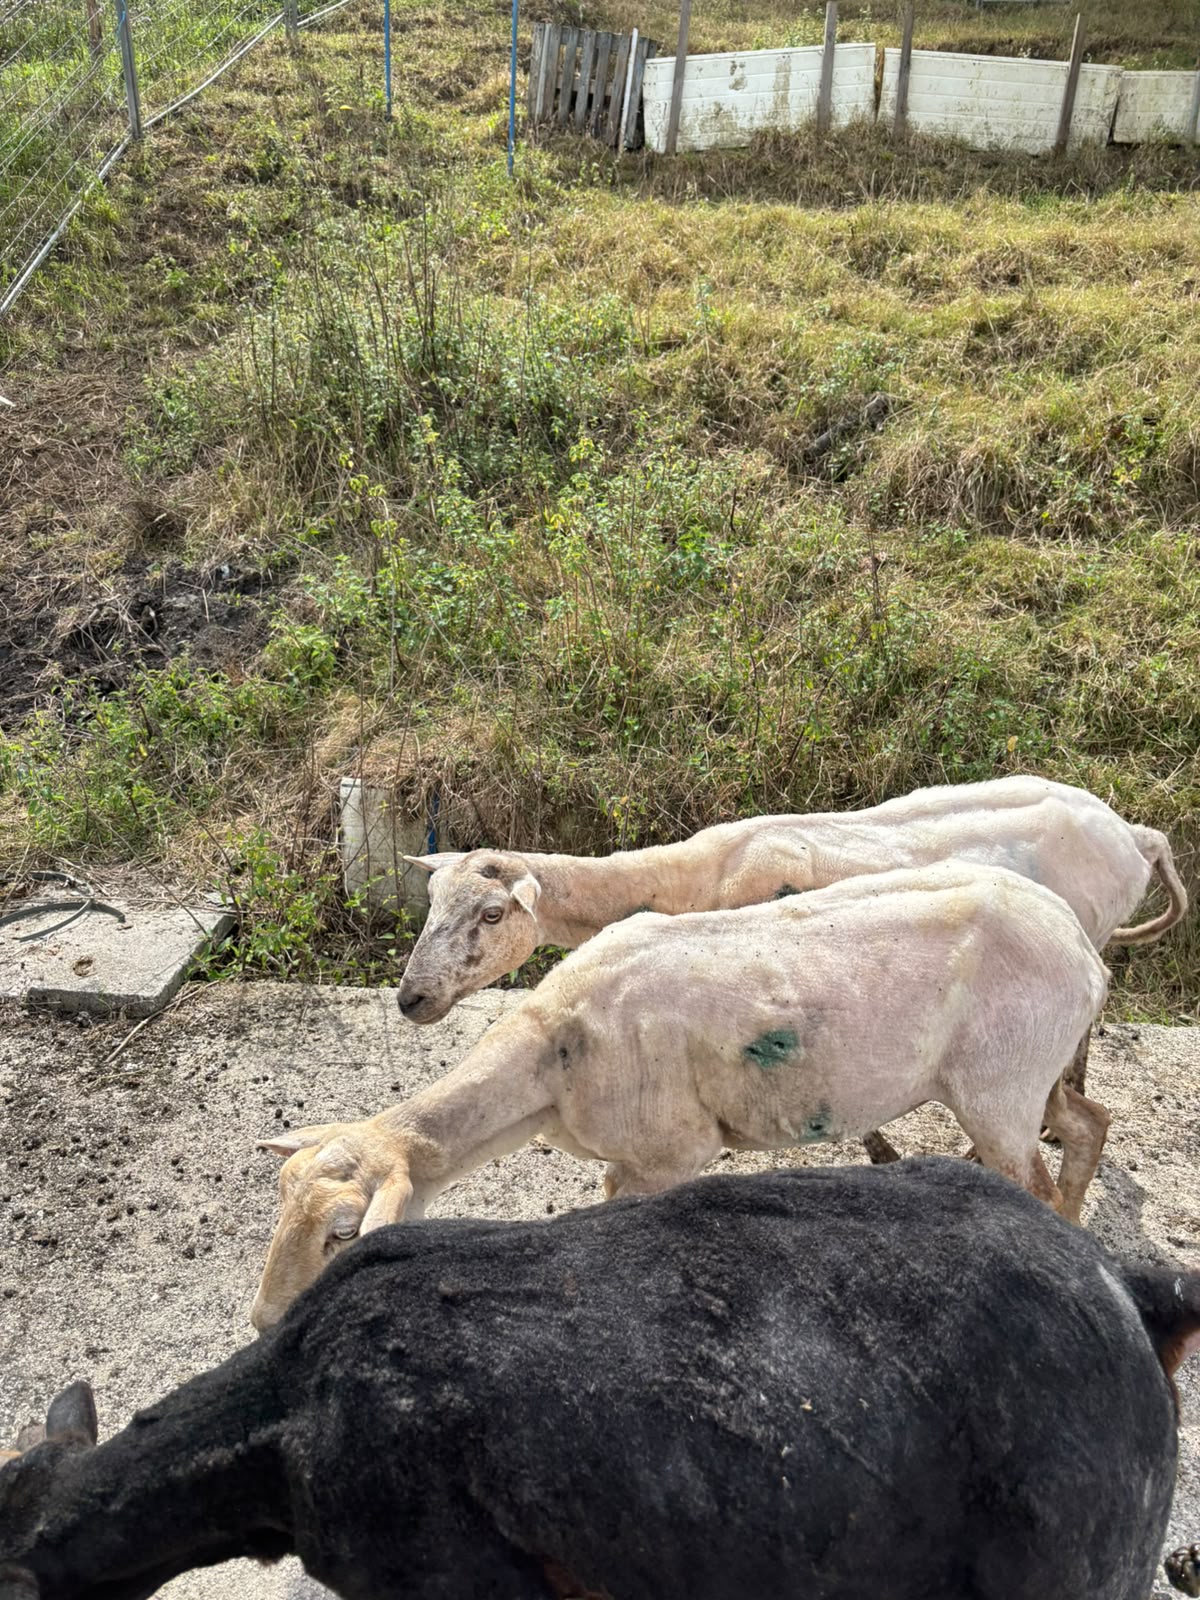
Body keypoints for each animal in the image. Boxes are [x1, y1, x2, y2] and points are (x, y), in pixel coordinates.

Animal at [251, 861, 1111, 1329]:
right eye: (279, 1196)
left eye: (341, 1234)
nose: (262, 1322)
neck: (548, 1058)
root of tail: (1084, 948)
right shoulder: (628, 1158)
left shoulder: (674, 1150)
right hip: (1032, 1072)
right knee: (1089, 1124)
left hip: (1000, 1083)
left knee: (1032, 1179)